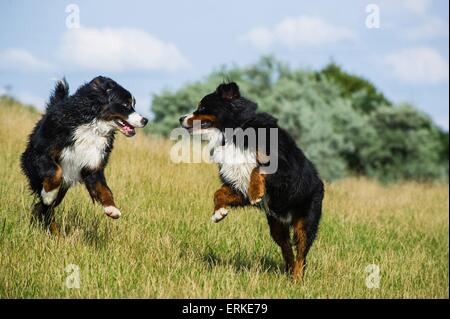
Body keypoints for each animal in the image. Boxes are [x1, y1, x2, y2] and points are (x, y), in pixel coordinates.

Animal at [21, 76, 148, 234]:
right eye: (126, 104)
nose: (145, 120)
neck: (93, 127)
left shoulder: (93, 165)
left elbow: (104, 189)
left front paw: (112, 208)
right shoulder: (40, 153)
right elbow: (55, 172)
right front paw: (48, 194)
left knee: (43, 208)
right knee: (46, 206)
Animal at [179, 82, 324, 280]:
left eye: (202, 107)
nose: (181, 118)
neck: (233, 132)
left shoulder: (284, 169)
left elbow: (258, 168)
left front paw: (256, 192)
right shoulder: (238, 184)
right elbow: (219, 192)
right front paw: (219, 213)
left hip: (305, 220)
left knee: (301, 253)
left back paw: (296, 279)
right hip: (276, 225)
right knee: (287, 248)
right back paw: (288, 273)